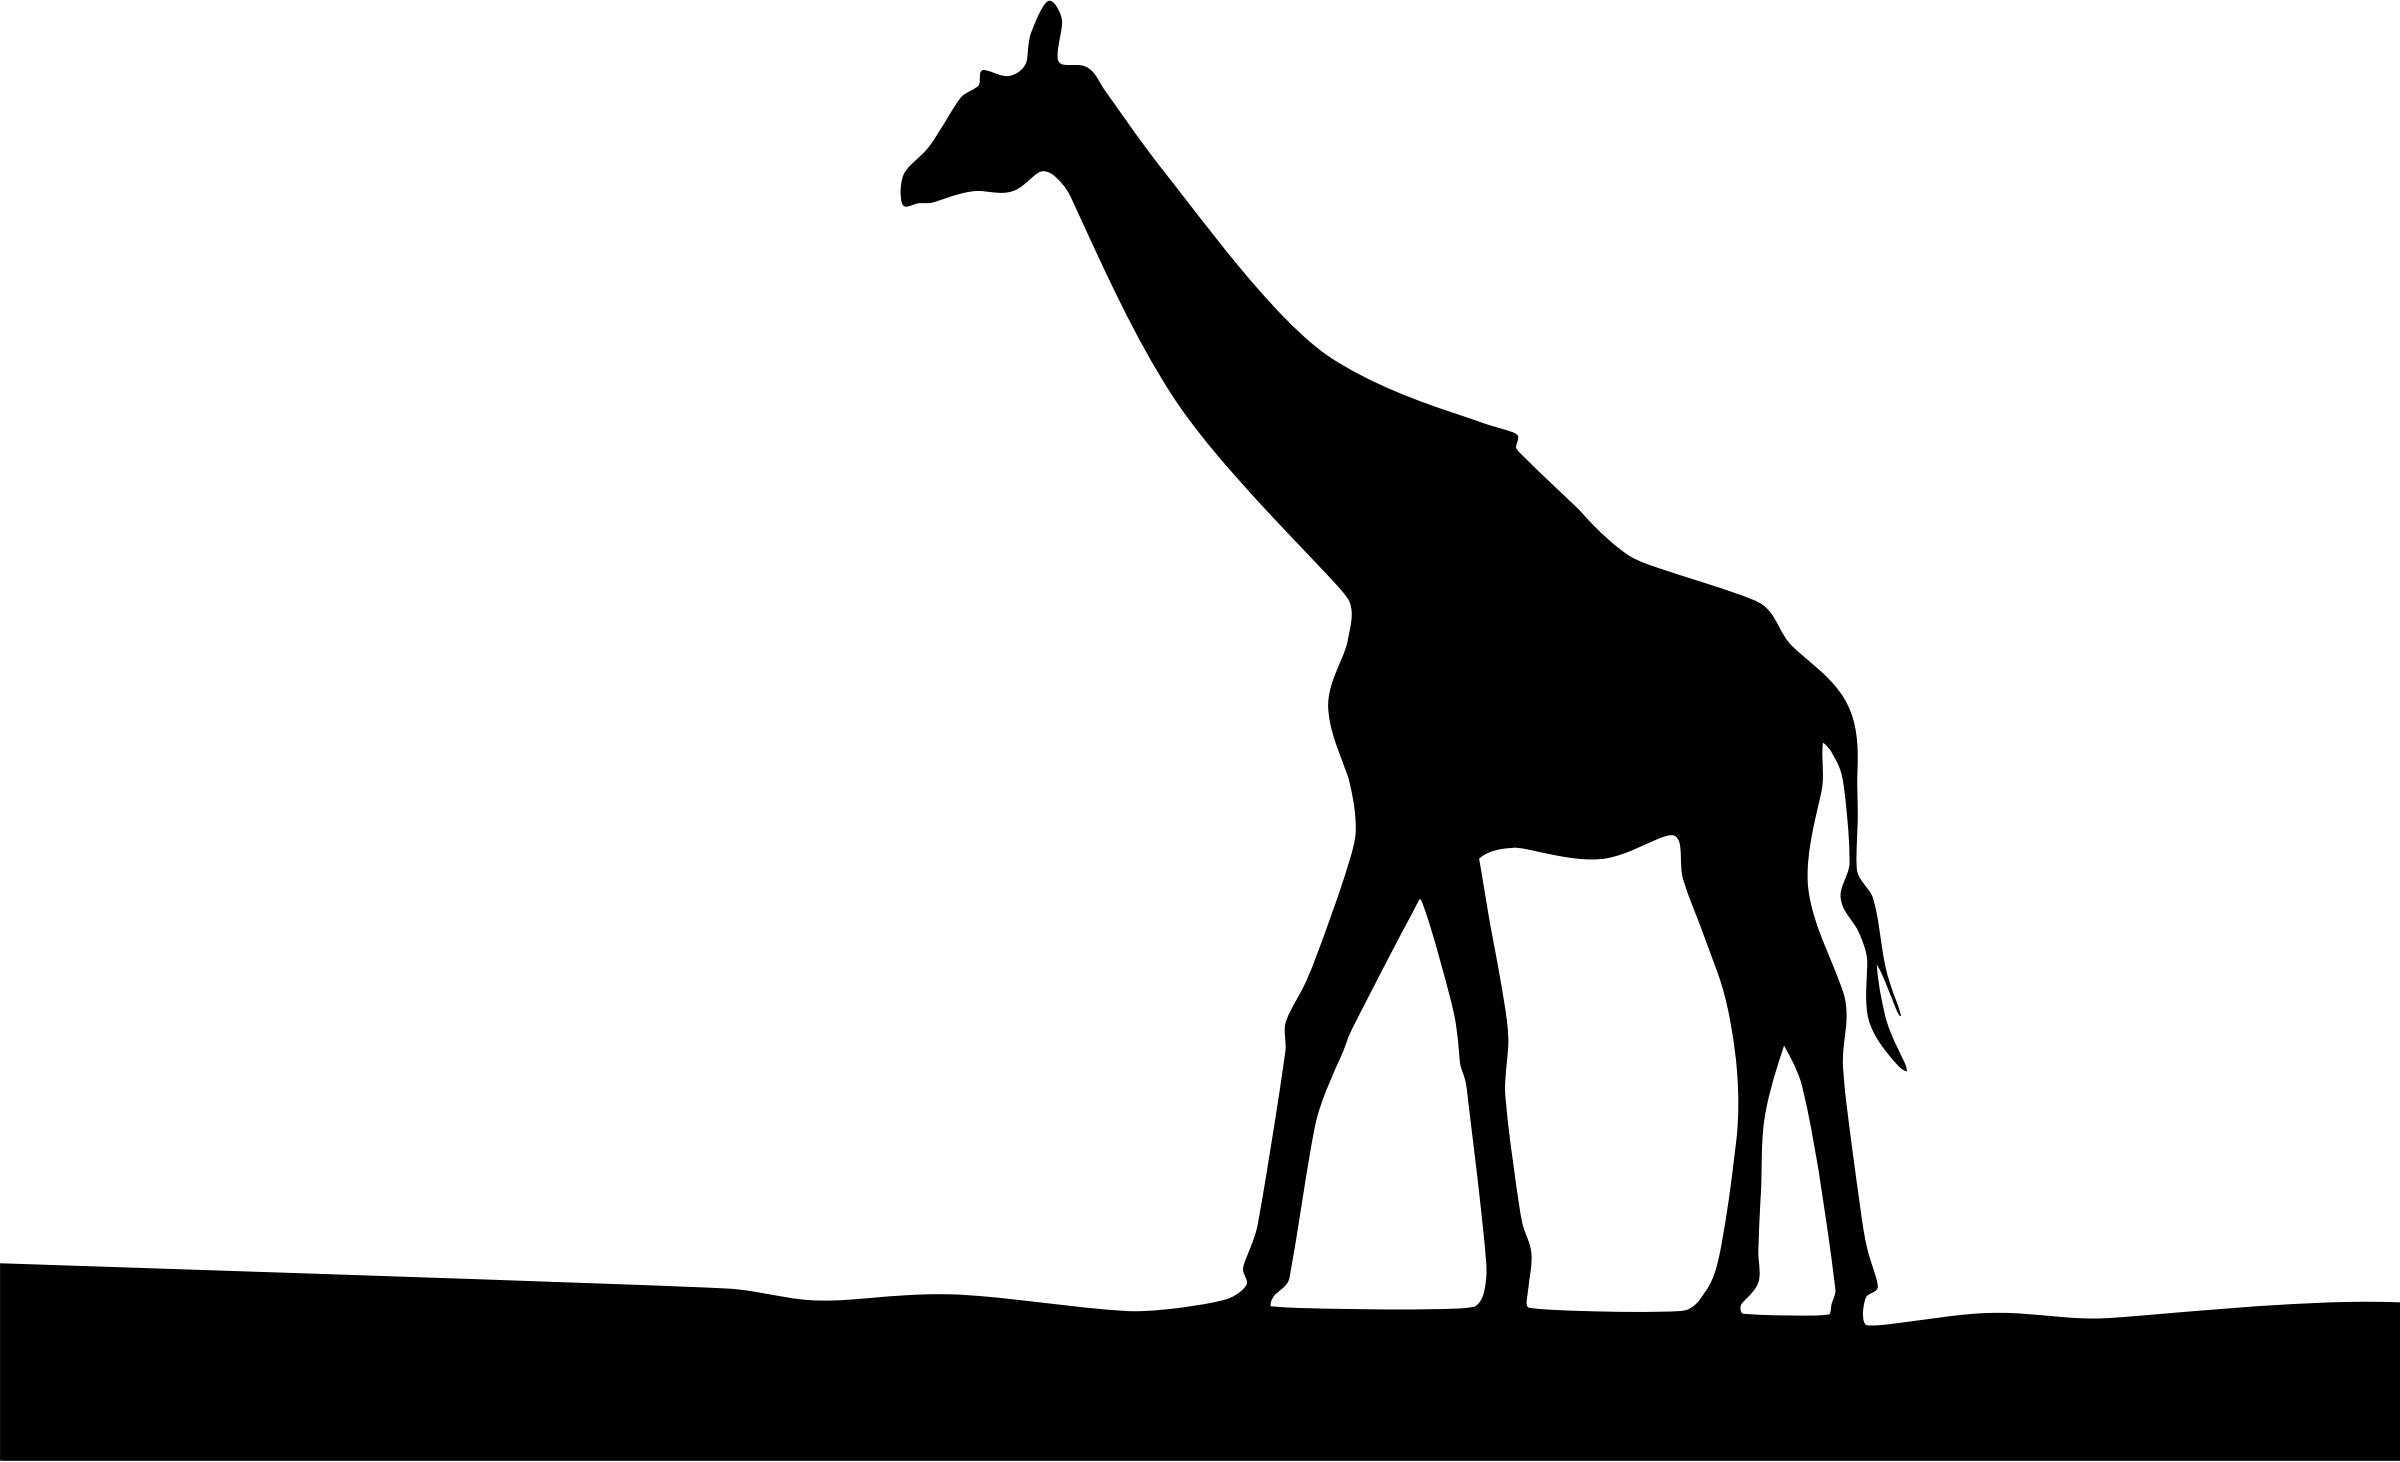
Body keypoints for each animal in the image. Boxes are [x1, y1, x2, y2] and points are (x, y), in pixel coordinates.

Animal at [902, 5, 1904, 1321]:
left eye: (987, 108)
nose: (911, 178)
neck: (1358, 533)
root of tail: (1821, 697)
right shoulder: (1422, 822)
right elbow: (1359, 1019)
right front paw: (1316, 1275)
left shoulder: (1405, 809)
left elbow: (1420, 1023)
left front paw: (1465, 1278)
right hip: (1715, 843)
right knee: (1765, 1010)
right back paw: (1726, 1284)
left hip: (1746, 833)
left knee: (1807, 1005)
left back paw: (1843, 1288)